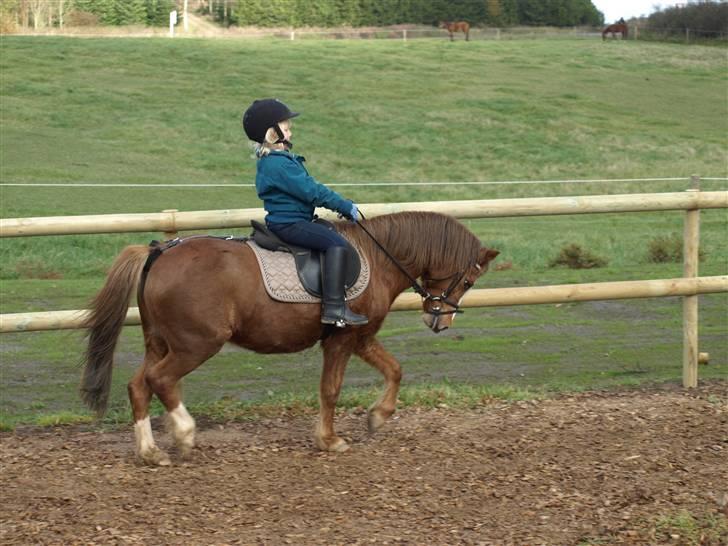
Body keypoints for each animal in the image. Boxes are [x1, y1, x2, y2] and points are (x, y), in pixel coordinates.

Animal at [81, 210, 500, 466]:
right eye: (468, 280)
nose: (440, 322)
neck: (378, 257)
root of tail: (160, 251)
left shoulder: (362, 337)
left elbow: (394, 370)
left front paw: (377, 417)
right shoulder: (342, 341)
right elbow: (331, 389)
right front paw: (329, 439)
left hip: (160, 342)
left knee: (139, 385)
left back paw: (150, 451)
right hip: (195, 344)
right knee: (160, 380)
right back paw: (183, 434)